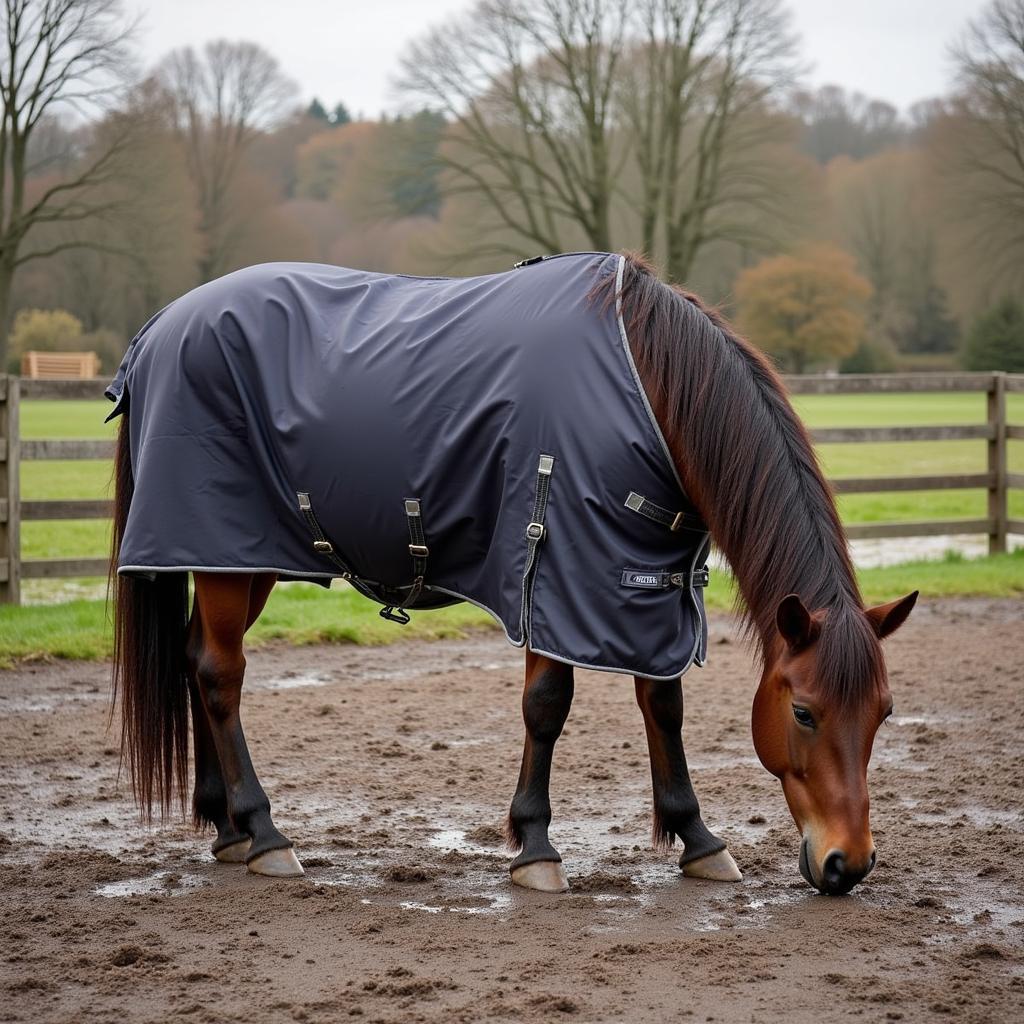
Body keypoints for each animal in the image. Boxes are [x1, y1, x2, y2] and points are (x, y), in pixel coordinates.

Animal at [108, 251, 917, 901]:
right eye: (804, 712)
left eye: (883, 714)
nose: (848, 864)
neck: (646, 386)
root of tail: (159, 329)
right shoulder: (553, 572)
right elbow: (547, 706)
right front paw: (535, 847)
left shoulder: (641, 582)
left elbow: (663, 704)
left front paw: (698, 840)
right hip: (219, 551)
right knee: (220, 674)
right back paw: (265, 833)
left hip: (247, 560)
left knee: (194, 659)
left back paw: (225, 828)